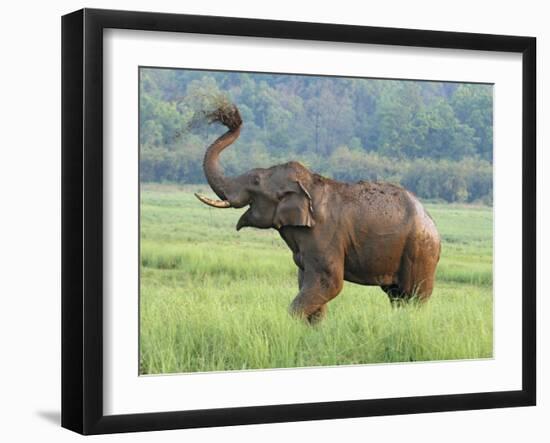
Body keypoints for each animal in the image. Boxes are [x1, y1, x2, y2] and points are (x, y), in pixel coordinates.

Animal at [196, 106, 442, 324]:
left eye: (255, 181)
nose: (231, 119)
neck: (308, 184)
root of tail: (432, 222)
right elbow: (306, 282)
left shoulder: (324, 234)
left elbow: (328, 282)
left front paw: (289, 327)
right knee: (396, 296)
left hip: (420, 251)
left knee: (414, 297)